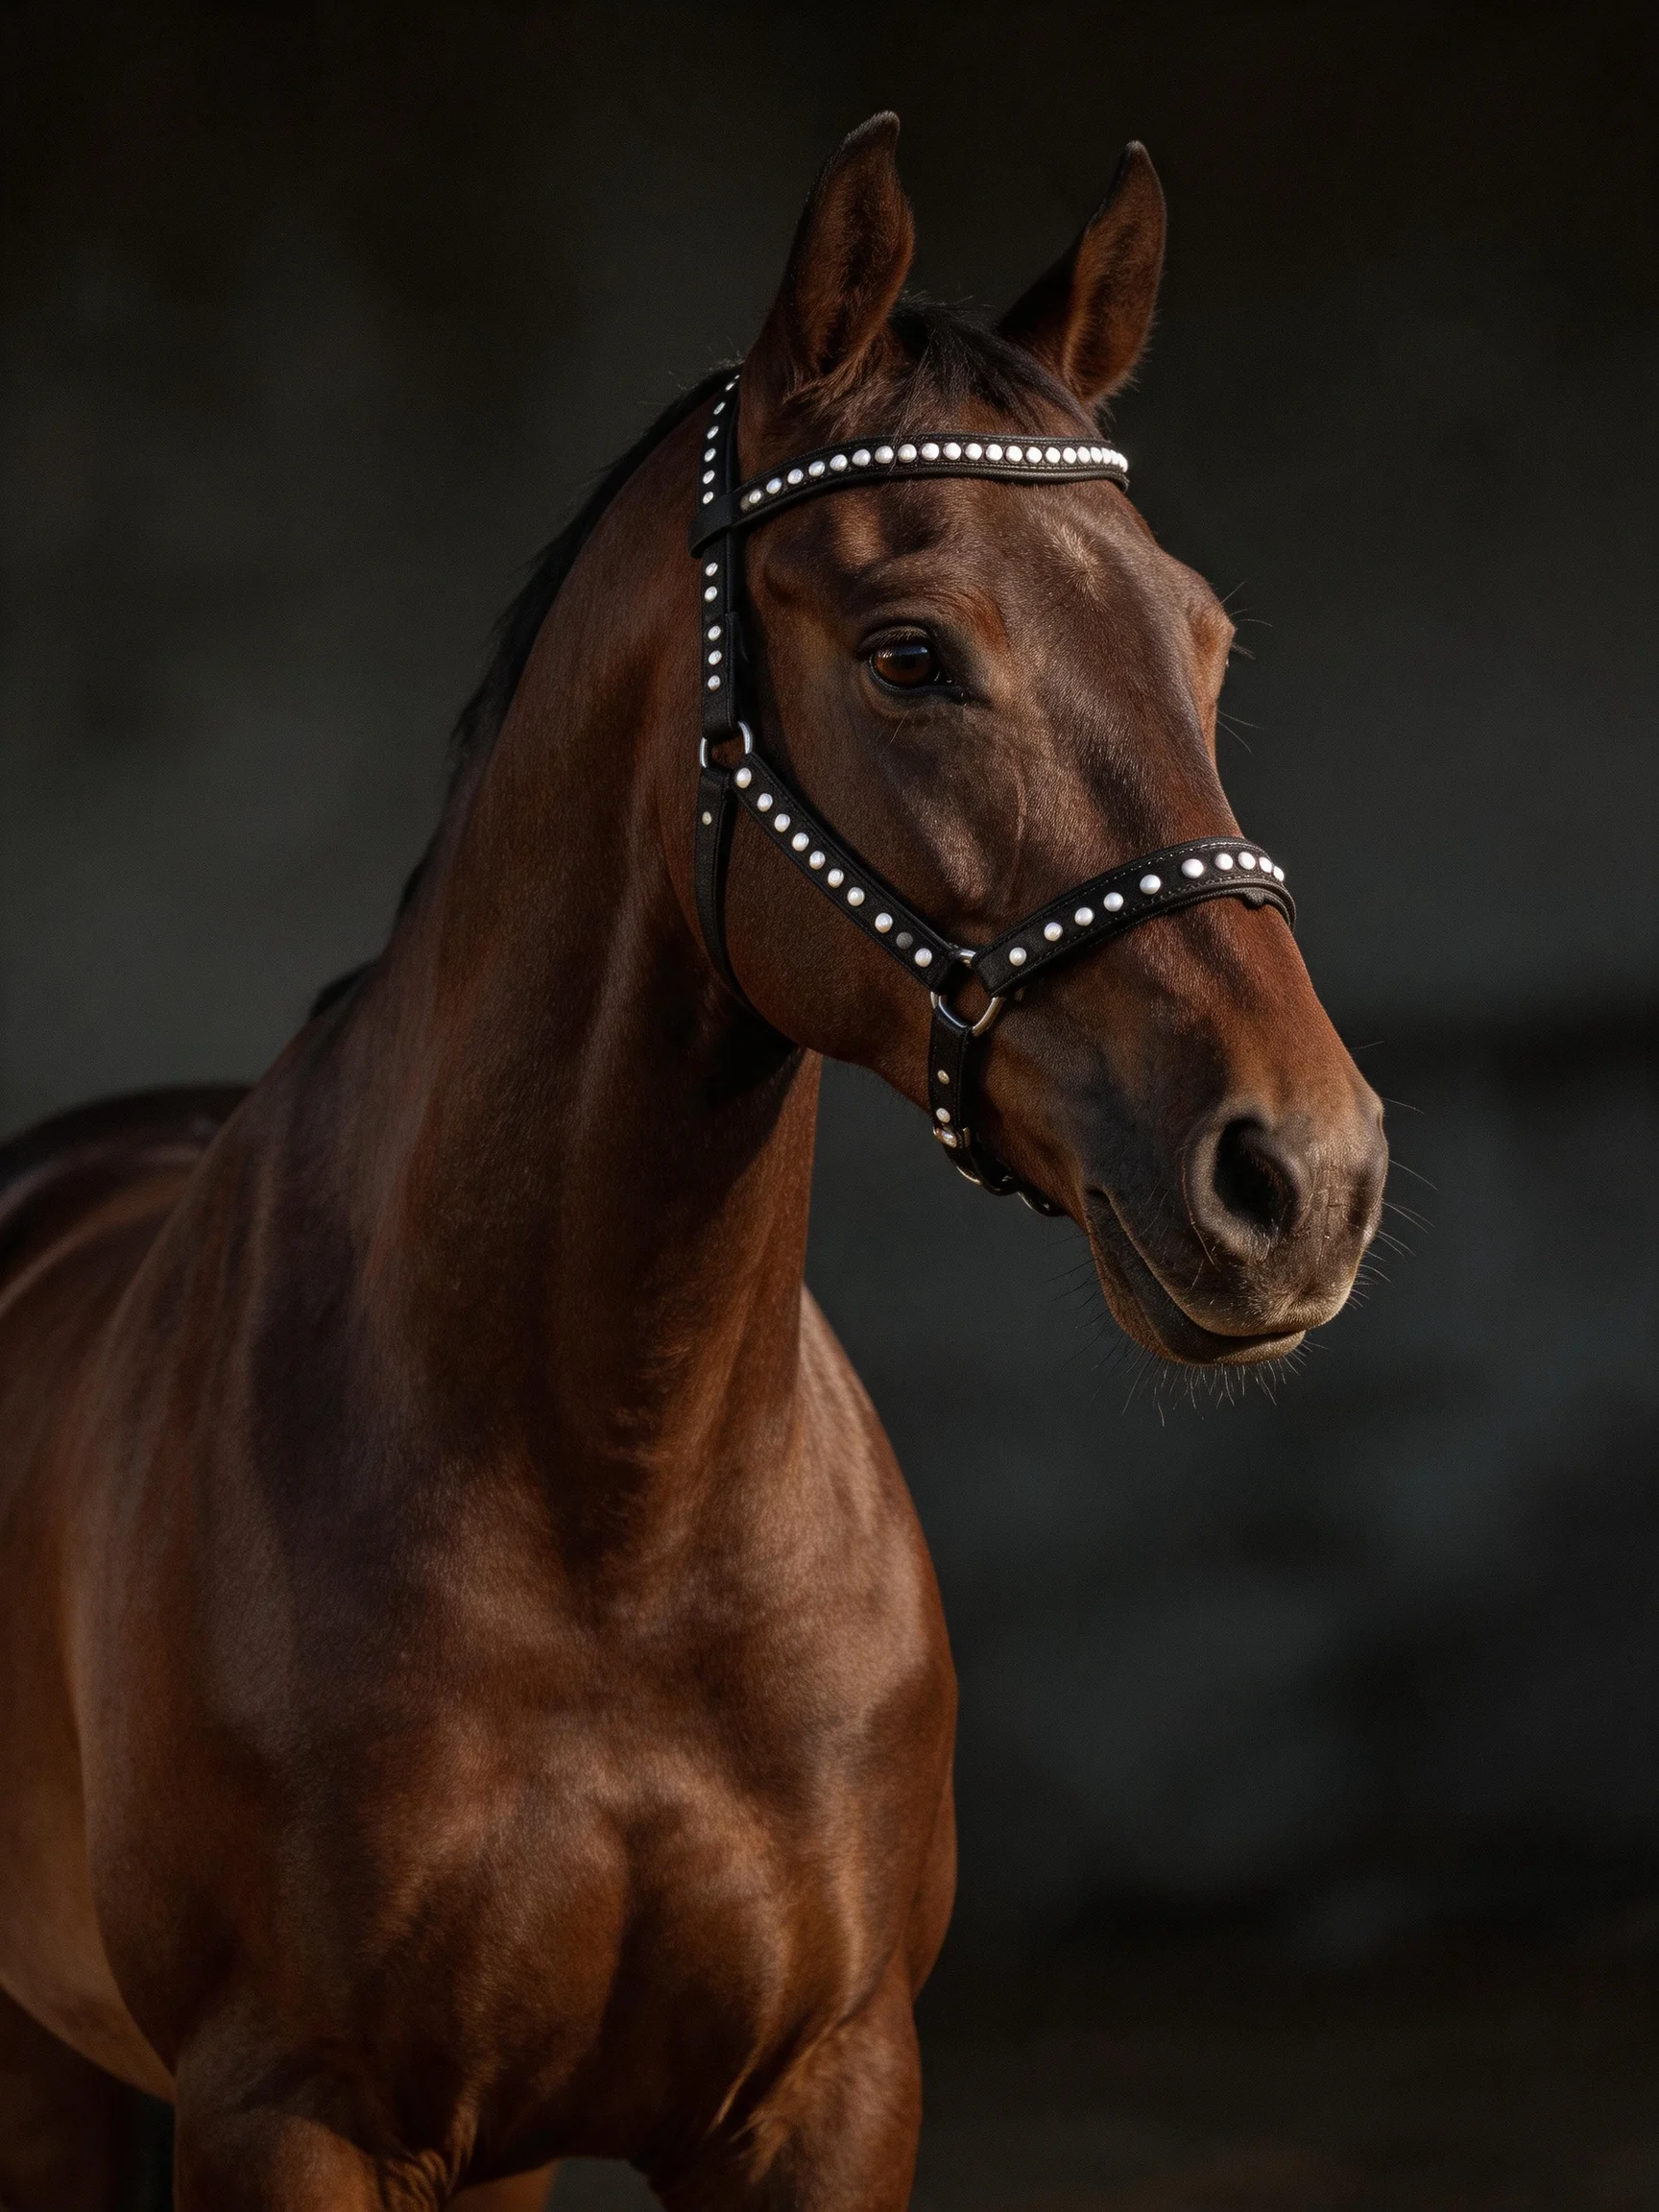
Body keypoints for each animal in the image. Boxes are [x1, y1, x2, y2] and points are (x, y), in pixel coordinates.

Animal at [0, 114, 1386, 2210]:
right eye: (910, 653)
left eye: (1201, 643)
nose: (1301, 1174)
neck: (608, 1525)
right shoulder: (286, 2110)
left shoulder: (826, 2091)